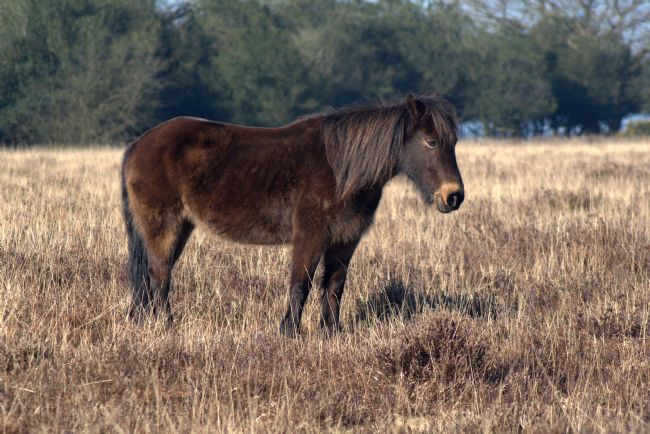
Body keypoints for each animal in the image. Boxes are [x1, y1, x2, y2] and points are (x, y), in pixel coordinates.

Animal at [121, 94, 464, 337]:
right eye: (431, 141)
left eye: (454, 143)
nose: (454, 196)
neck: (341, 168)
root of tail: (137, 144)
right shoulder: (311, 236)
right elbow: (301, 283)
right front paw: (289, 332)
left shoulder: (345, 240)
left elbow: (334, 286)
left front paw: (331, 333)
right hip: (164, 226)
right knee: (159, 275)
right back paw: (166, 326)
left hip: (179, 228)